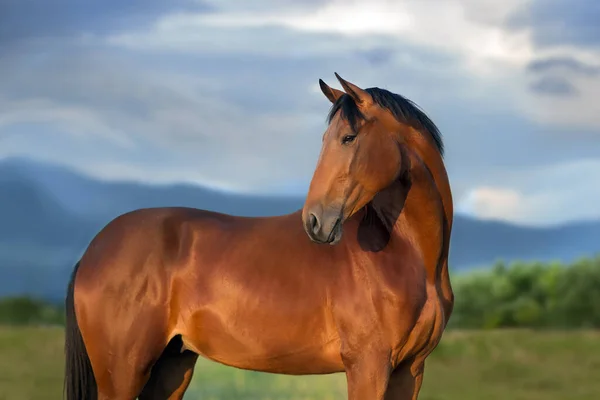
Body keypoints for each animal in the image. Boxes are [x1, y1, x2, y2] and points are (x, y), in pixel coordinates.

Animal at [62, 73, 454, 398]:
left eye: (348, 137)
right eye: (332, 138)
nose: (314, 221)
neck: (404, 255)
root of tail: (93, 250)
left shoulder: (409, 371)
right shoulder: (368, 366)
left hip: (173, 364)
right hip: (124, 373)